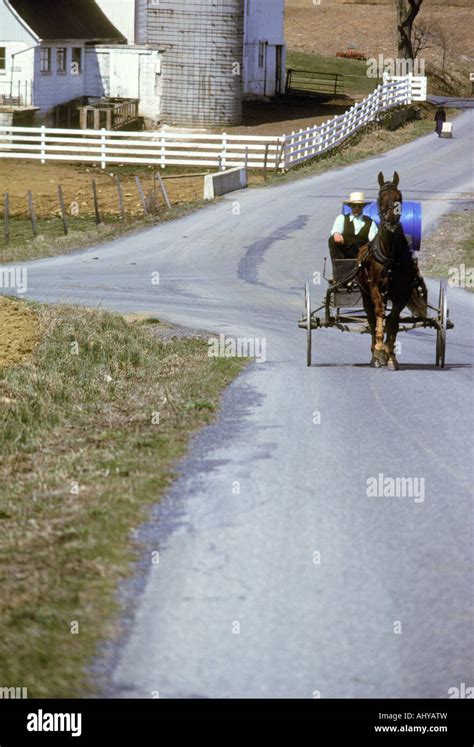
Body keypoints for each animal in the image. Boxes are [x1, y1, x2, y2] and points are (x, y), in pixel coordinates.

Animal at [358, 169, 428, 368]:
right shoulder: (375, 287)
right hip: (366, 295)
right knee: (372, 319)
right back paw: (374, 353)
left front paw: (390, 355)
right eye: (380, 197)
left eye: (399, 197)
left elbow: (394, 320)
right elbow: (380, 314)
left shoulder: (402, 291)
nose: (391, 220)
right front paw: (380, 349)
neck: (389, 255)